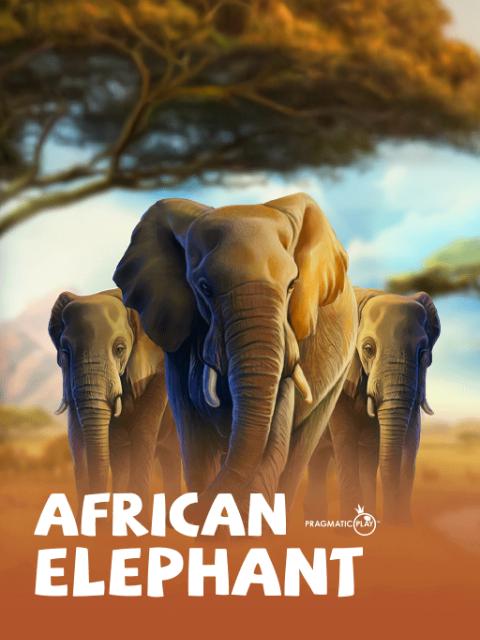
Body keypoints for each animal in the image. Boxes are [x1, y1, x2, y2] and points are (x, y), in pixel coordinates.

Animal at [305, 287, 441, 524]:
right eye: (368, 349)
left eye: (424, 355)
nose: (392, 521)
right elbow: (345, 438)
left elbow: (410, 438)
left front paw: (401, 525)